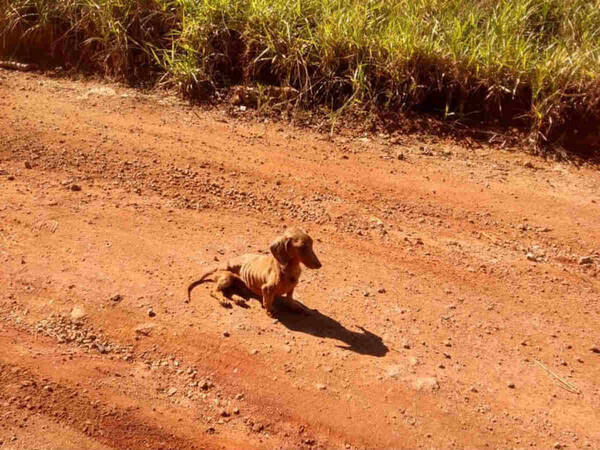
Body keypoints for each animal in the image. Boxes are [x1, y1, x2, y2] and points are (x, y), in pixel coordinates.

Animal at [188, 229, 322, 316]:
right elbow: (268, 301)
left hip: (237, 284)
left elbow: (290, 298)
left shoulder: (292, 287)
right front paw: (270, 311)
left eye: (312, 244)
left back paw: (238, 299)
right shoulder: (266, 288)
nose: (319, 265)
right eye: (301, 247)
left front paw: (294, 306)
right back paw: (223, 300)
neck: (289, 268)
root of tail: (219, 265)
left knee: (229, 292)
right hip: (227, 277)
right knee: (214, 291)